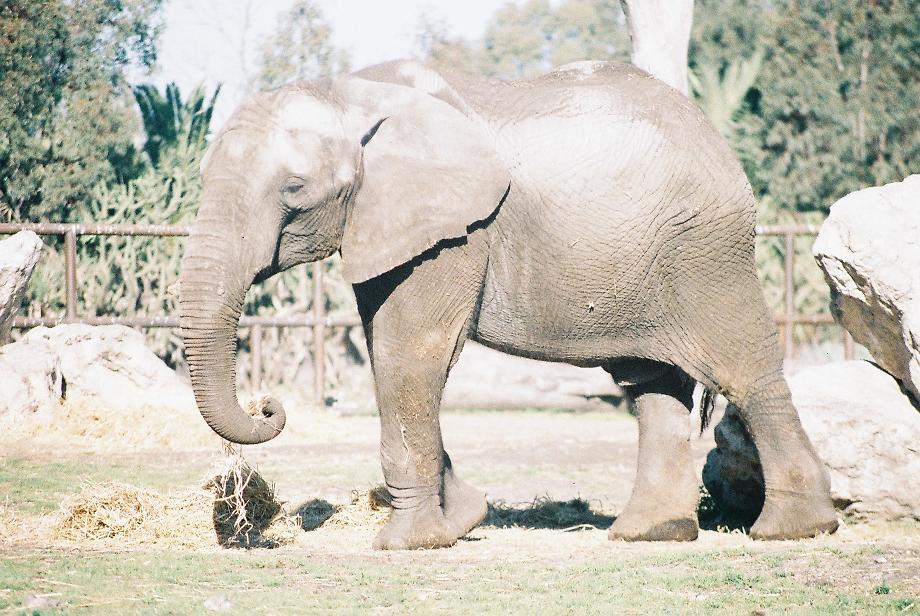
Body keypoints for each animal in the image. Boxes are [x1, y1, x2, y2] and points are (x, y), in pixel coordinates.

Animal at [178, 59, 838, 550]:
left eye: (294, 191)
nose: (269, 406)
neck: (348, 92)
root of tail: (714, 134)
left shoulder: (456, 228)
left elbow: (408, 353)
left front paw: (408, 544)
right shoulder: (389, 222)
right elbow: (388, 350)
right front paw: (465, 518)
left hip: (707, 251)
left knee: (743, 372)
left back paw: (793, 530)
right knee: (651, 383)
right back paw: (647, 535)